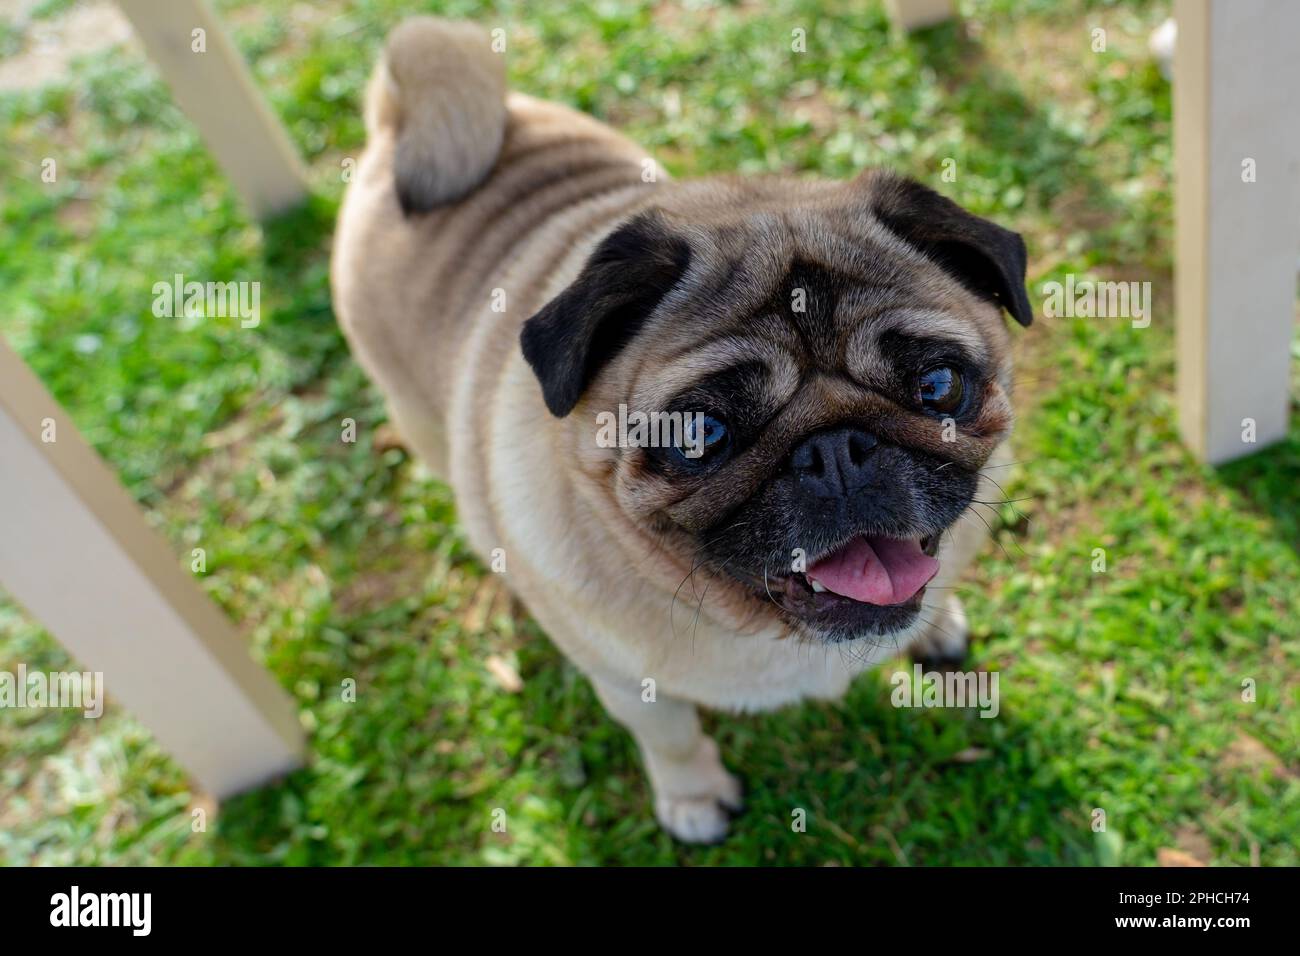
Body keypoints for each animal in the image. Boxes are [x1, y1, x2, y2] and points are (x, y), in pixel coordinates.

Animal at [330, 16, 1029, 842]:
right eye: (700, 436)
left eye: (938, 386)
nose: (836, 451)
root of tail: (401, 119)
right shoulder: (627, 682)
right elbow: (669, 737)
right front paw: (695, 799)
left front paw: (931, 626)